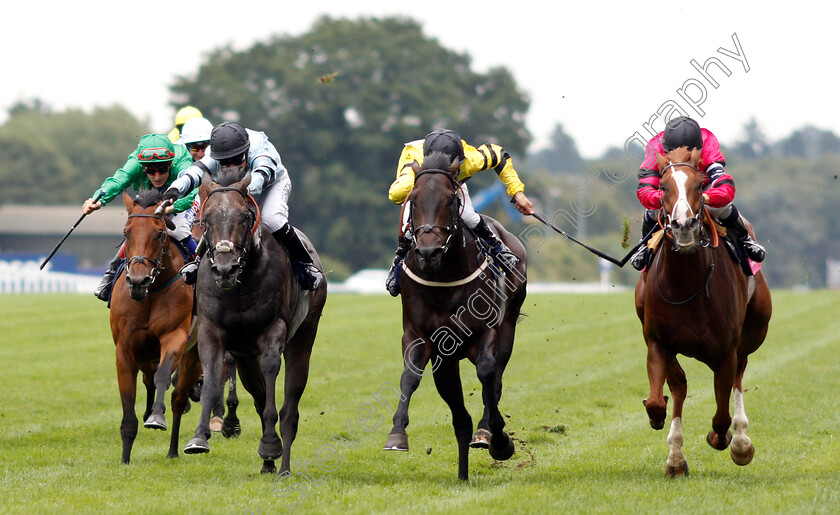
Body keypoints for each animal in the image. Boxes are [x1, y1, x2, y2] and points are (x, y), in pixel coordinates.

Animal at [110, 191, 201, 466]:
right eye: (126, 232)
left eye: (160, 233)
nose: (138, 281)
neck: (150, 295)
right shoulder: (125, 351)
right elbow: (128, 404)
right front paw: (125, 458)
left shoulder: (175, 337)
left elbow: (163, 377)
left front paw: (156, 417)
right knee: (149, 381)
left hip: (193, 355)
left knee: (178, 399)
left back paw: (172, 449)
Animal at [184, 169, 328, 476]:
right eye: (206, 219)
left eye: (244, 217)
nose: (225, 269)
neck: (240, 286)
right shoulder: (211, 331)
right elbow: (212, 377)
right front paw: (200, 437)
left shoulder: (273, 329)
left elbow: (272, 371)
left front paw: (271, 445)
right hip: (244, 356)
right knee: (258, 395)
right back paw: (268, 462)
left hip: (303, 336)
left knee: (290, 406)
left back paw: (281, 463)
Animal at [384, 152, 528, 480]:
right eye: (414, 200)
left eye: (451, 199)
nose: (428, 252)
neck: (444, 277)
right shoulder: (420, 337)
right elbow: (409, 376)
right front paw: (397, 434)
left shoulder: (487, 331)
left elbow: (488, 374)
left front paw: (497, 438)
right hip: (447, 360)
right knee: (460, 416)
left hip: (508, 327)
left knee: (495, 380)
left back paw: (486, 433)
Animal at [632, 147, 772, 478]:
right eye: (663, 187)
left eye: (699, 185)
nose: (683, 225)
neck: (686, 287)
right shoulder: (658, 343)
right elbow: (660, 399)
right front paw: (662, 428)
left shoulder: (725, 351)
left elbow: (721, 417)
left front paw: (729, 441)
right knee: (681, 386)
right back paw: (676, 458)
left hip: (752, 333)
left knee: (738, 376)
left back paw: (741, 441)